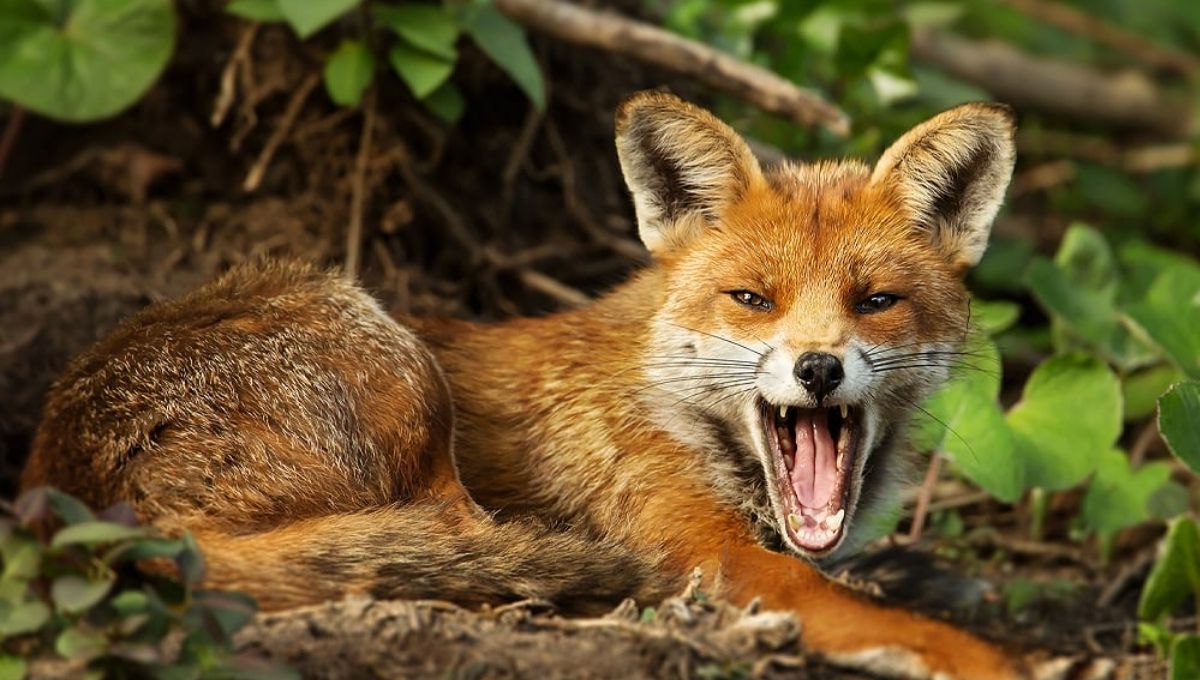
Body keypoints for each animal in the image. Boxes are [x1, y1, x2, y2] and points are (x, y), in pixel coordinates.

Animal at [22, 91, 1043, 679]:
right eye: (753, 299)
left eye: (876, 302)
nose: (819, 368)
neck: (673, 412)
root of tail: (69, 488)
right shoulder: (713, 553)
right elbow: (882, 618)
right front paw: (980, 656)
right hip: (395, 361)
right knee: (467, 547)